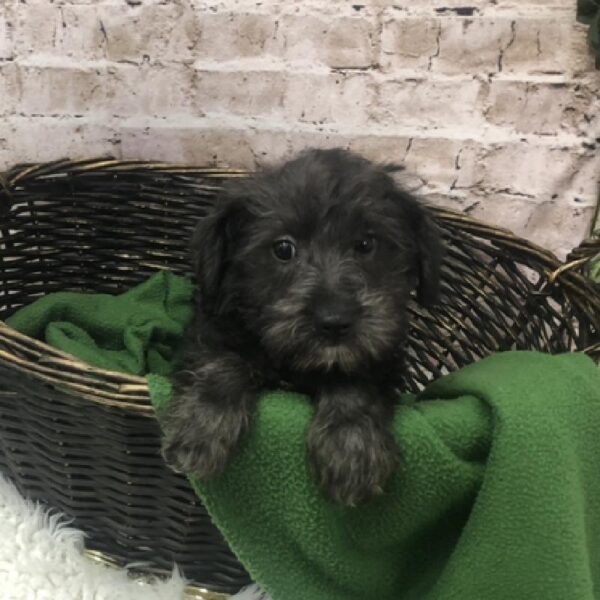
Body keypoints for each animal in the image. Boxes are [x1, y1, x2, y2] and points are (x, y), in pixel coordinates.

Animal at [162, 149, 442, 506]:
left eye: (366, 244)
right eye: (283, 249)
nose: (334, 321)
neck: (295, 361)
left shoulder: (382, 358)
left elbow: (355, 379)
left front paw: (353, 448)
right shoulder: (214, 330)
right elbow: (221, 361)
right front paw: (201, 427)